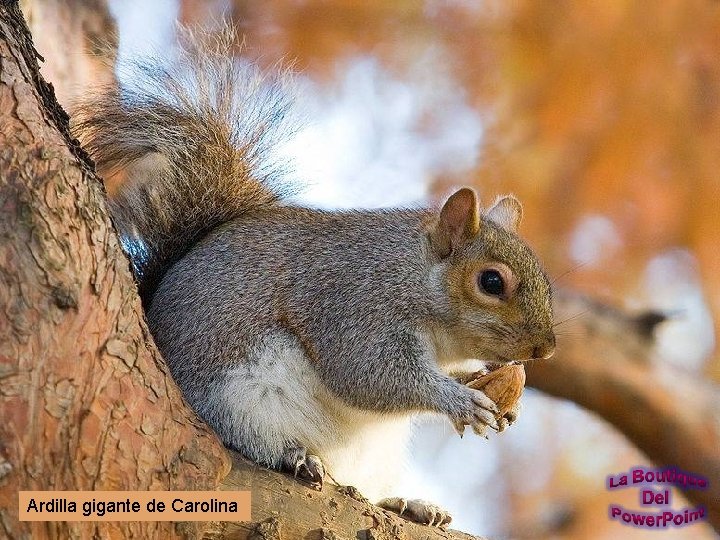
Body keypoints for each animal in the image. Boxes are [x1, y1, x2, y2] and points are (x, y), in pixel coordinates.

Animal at [73, 27, 556, 528]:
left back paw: (407, 504)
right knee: (251, 437)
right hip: (238, 399)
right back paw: (295, 456)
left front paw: (492, 386)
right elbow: (369, 374)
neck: (413, 278)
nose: (545, 348)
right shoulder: (354, 305)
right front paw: (458, 400)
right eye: (492, 283)